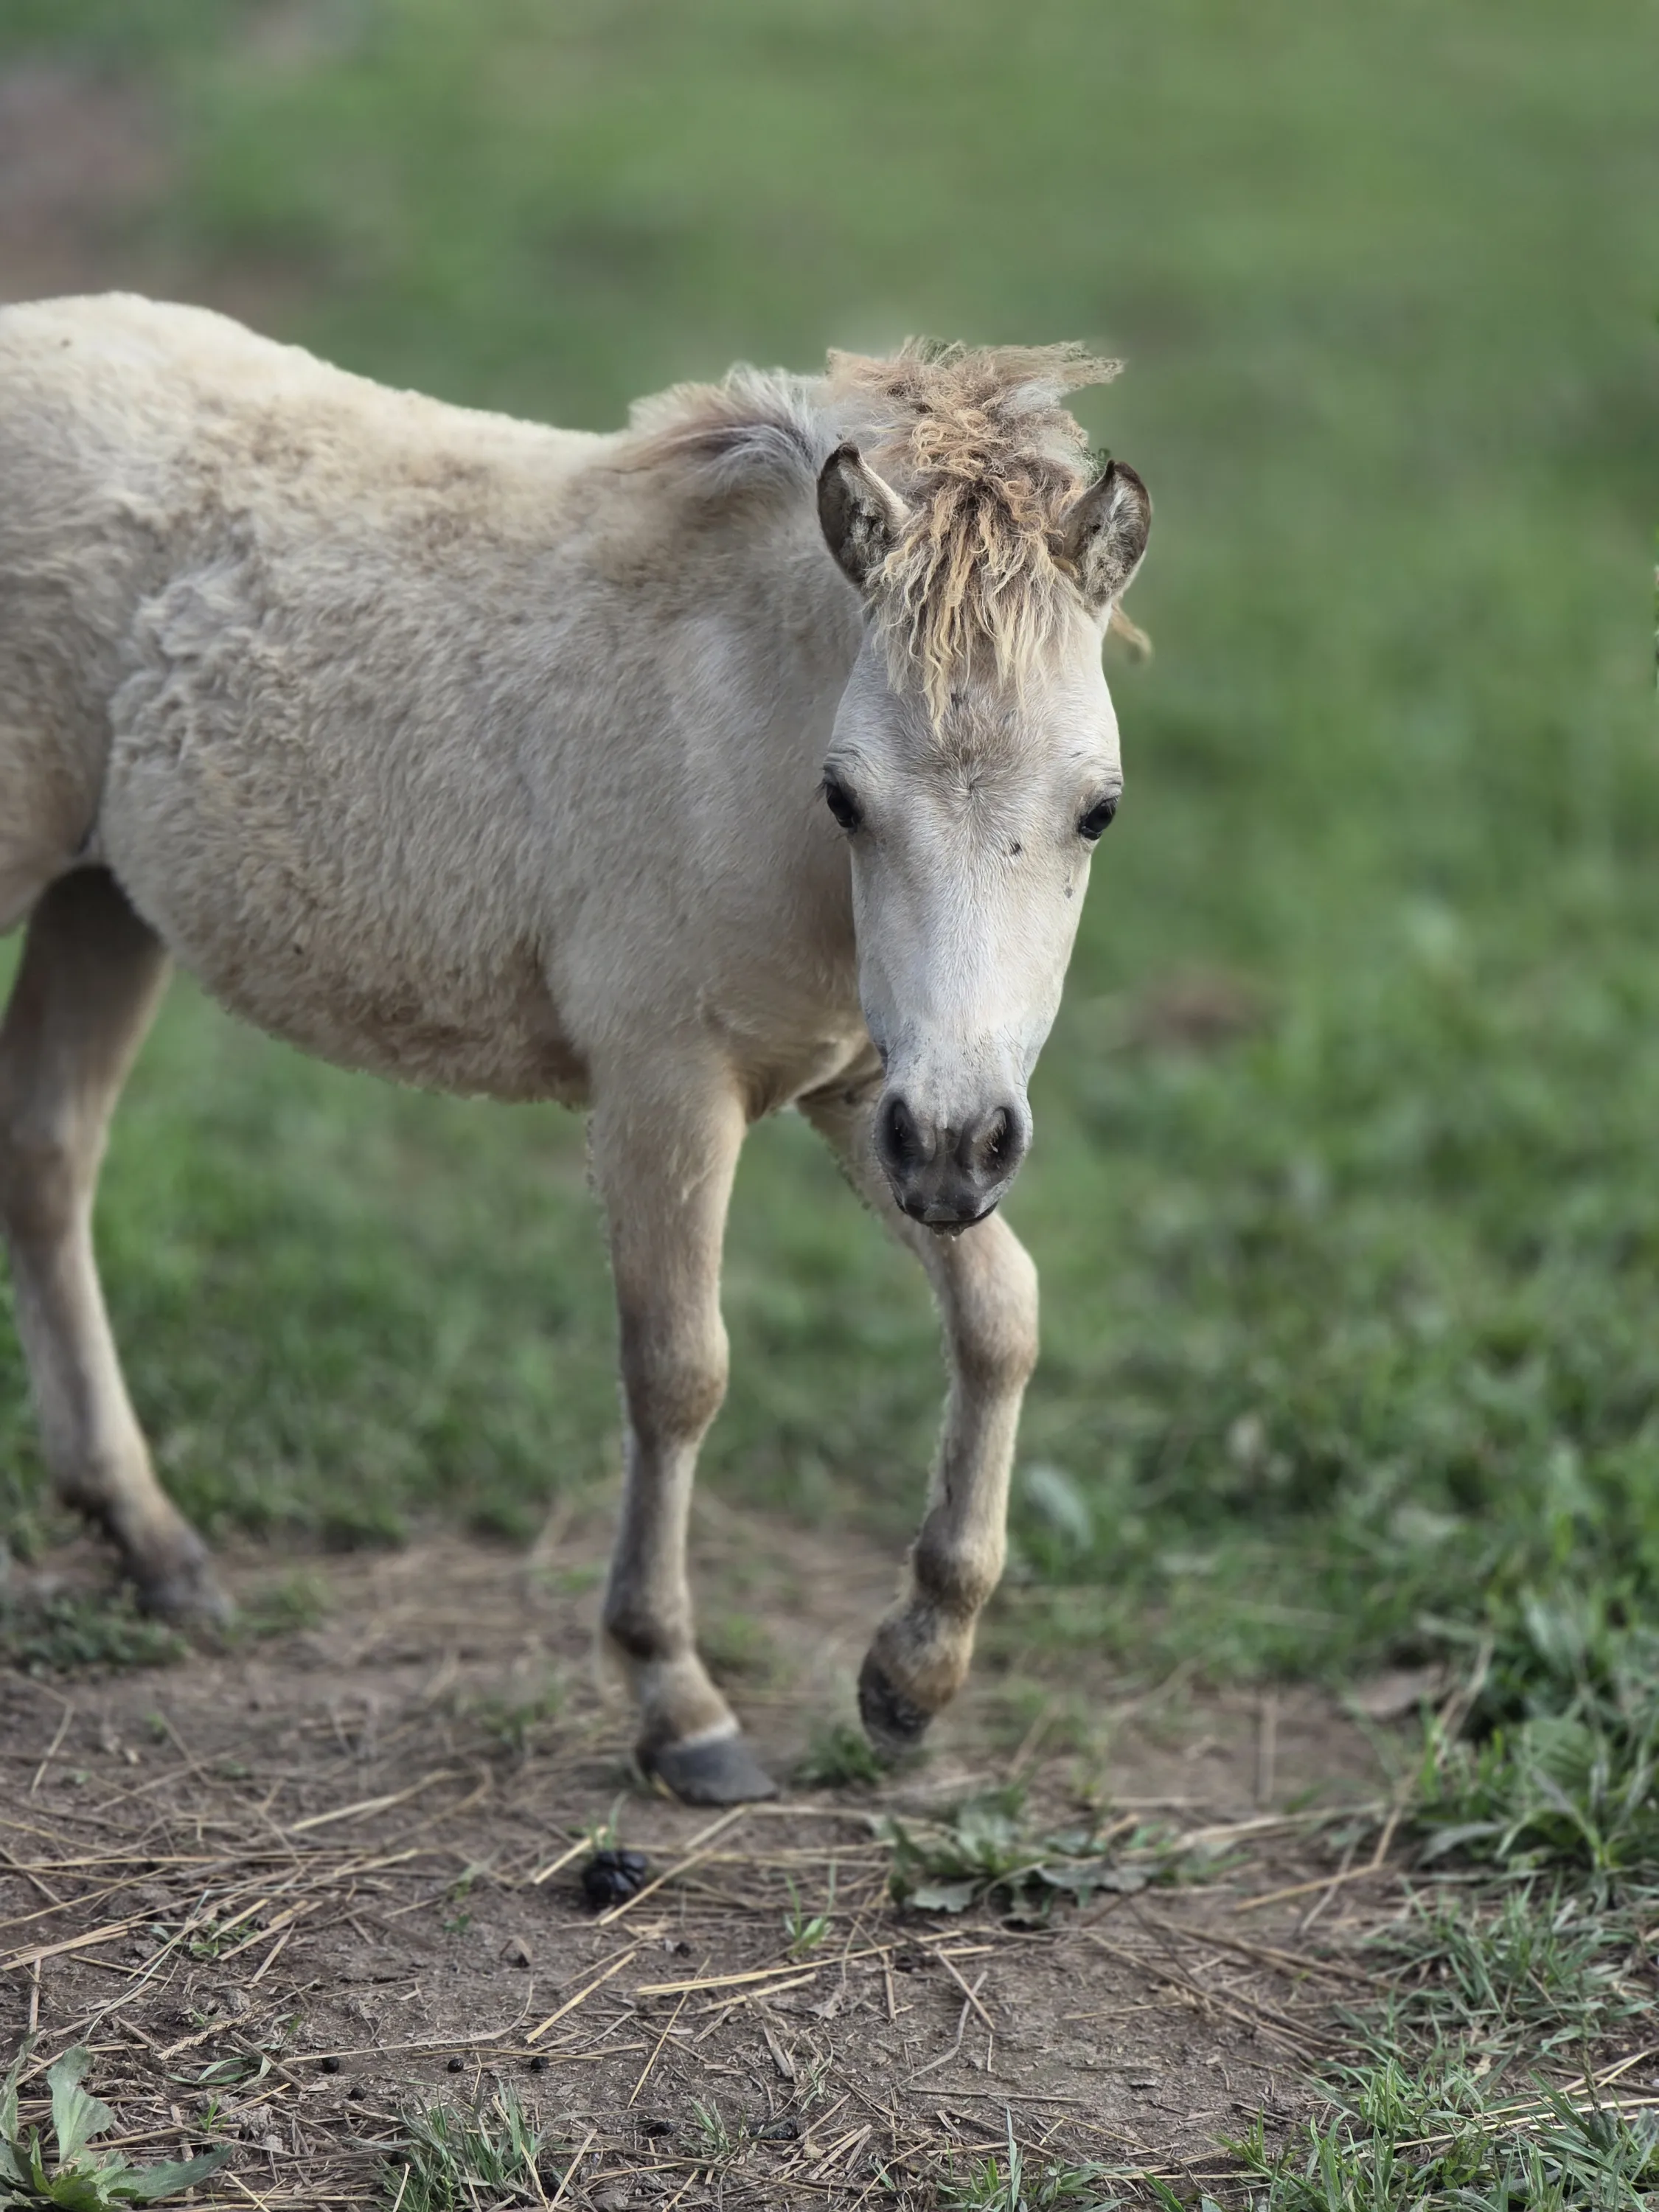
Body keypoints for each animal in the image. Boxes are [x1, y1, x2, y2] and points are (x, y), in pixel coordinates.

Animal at [0, 296, 1150, 1803]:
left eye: (1098, 811)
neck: (736, 735)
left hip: (103, 902)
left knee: (47, 1157)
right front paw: (679, 1706)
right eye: (846, 797)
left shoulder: (866, 1093)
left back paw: (152, 1542)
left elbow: (1002, 1315)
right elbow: (678, 1371)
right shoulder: (667, 1087)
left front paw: (913, 1675)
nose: (966, 1145)